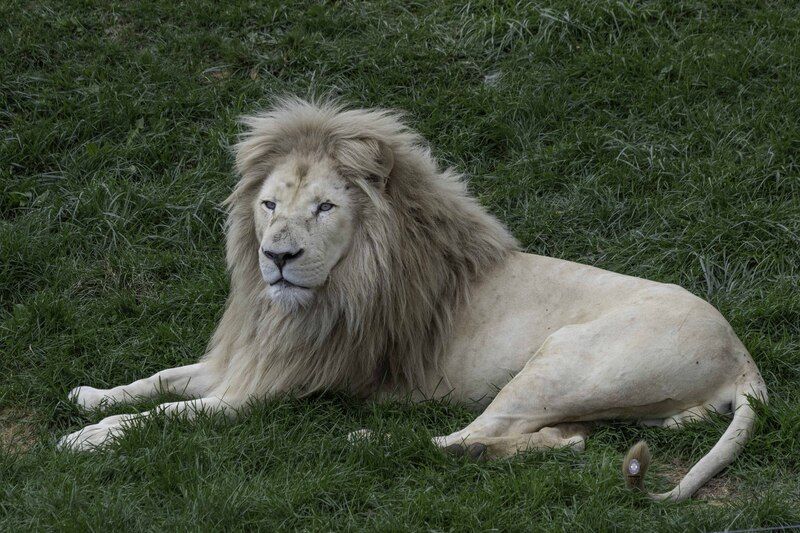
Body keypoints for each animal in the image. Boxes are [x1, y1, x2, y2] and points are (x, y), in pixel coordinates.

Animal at [60, 98, 767, 502]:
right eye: (269, 206)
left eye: (325, 208)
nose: (278, 257)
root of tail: (742, 358)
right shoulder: (246, 358)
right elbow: (161, 378)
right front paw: (92, 396)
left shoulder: (272, 389)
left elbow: (172, 412)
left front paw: (92, 436)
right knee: (552, 440)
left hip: (563, 360)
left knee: (467, 435)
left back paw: (366, 441)